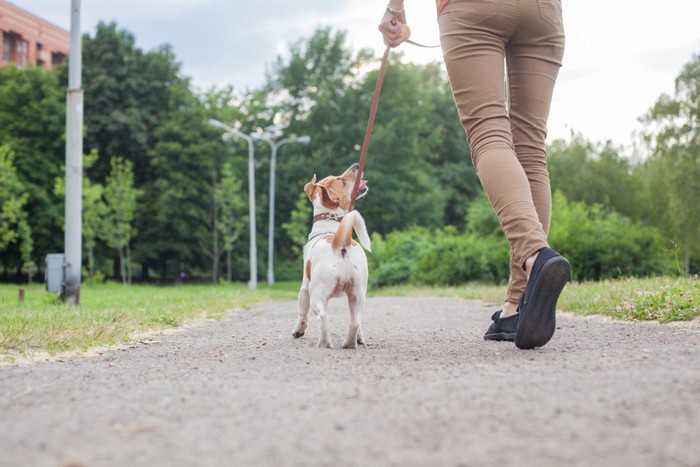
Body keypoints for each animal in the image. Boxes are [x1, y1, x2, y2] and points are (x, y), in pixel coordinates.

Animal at [292, 163, 372, 350]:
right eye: (341, 180)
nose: (356, 165)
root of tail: (340, 243)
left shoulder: (304, 287)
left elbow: (302, 313)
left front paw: (298, 331)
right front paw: (360, 338)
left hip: (317, 294)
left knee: (323, 316)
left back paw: (324, 342)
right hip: (357, 295)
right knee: (355, 321)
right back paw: (349, 343)